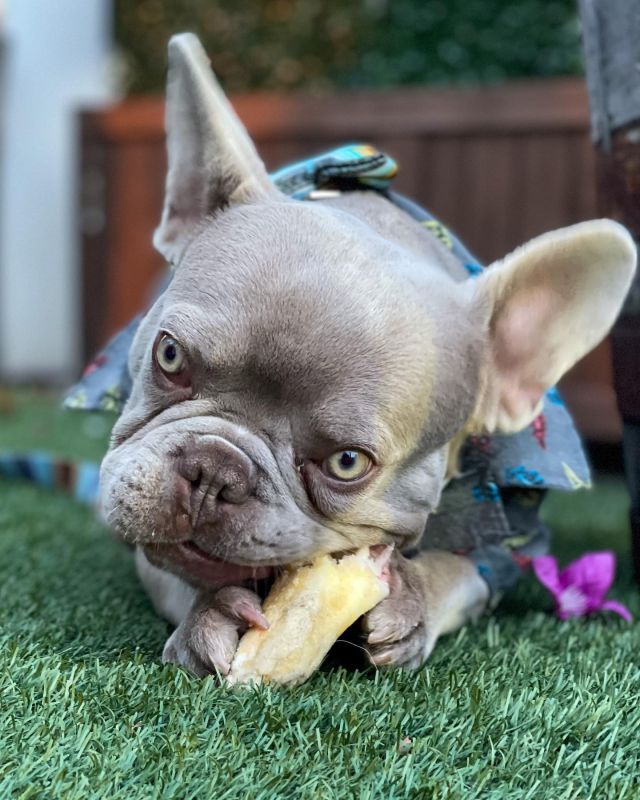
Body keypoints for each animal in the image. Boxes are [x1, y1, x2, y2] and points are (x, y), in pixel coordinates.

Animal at [97, 34, 636, 680]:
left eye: (348, 463)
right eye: (170, 355)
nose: (215, 470)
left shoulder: (504, 550)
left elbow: (461, 571)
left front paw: (414, 598)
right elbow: (168, 565)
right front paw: (211, 610)